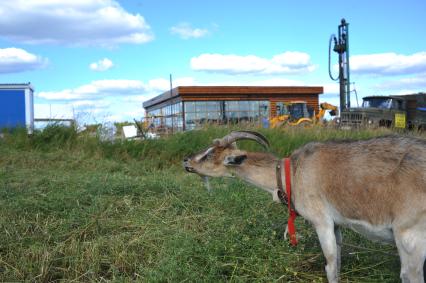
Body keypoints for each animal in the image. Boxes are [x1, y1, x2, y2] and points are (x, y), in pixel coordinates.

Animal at [184, 132, 426, 283]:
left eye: (210, 154)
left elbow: (330, 266)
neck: (292, 173)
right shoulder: (336, 225)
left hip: (409, 236)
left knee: (409, 275)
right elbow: (338, 261)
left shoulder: (322, 221)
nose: (186, 161)